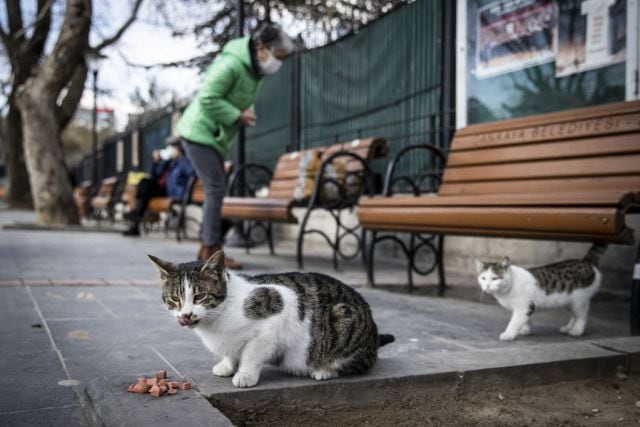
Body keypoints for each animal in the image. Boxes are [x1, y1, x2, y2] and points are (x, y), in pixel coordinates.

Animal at [149, 251, 396, 388]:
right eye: (175, 299)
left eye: (200, 296)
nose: (186, 315)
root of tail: (373, 334)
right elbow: (230, 352)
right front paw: (227, 365)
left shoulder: (278, 308)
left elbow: (251, 354)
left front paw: (245, 374)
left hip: (344, 317)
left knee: (358, 364)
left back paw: (324, 370)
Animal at [476, 244, 604, 342]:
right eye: (483, 278)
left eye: (495, 278)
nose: (487, 286)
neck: (510, 285)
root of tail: (586, 262)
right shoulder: (527, 307)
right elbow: (526, 319)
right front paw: (525, 329)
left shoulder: (524, 306)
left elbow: (514, 321)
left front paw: (508, 334)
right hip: (569, 302)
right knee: (574, 315)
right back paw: (568, 328)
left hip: (579, 301)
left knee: (582, 315)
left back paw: (576, 330)